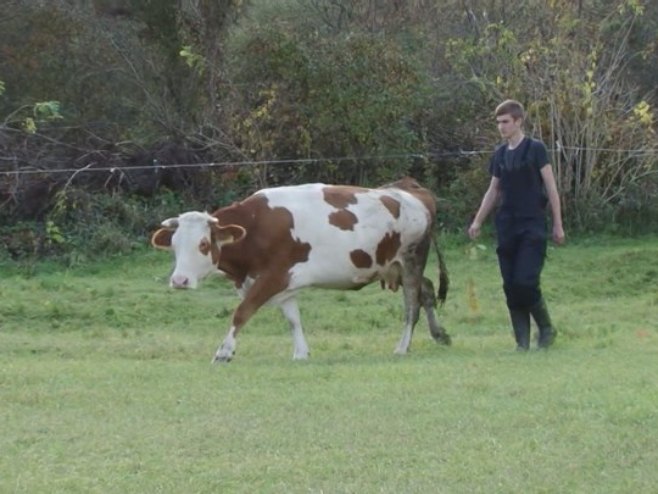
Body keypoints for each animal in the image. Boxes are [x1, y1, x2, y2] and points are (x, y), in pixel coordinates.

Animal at [152, 178, 452, 362]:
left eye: (203, 244)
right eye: (174, 245)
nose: (179, 280)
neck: (255, 227)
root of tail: (411, 189)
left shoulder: (272, 277)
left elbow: (242, 313)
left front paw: (224, 351)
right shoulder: (284, 283)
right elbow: (293, 319)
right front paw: (301, 353)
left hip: (411, 260)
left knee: (412, 304)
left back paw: (402, 347)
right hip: (393, 267)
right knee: (427, 290)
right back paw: (439, 334)